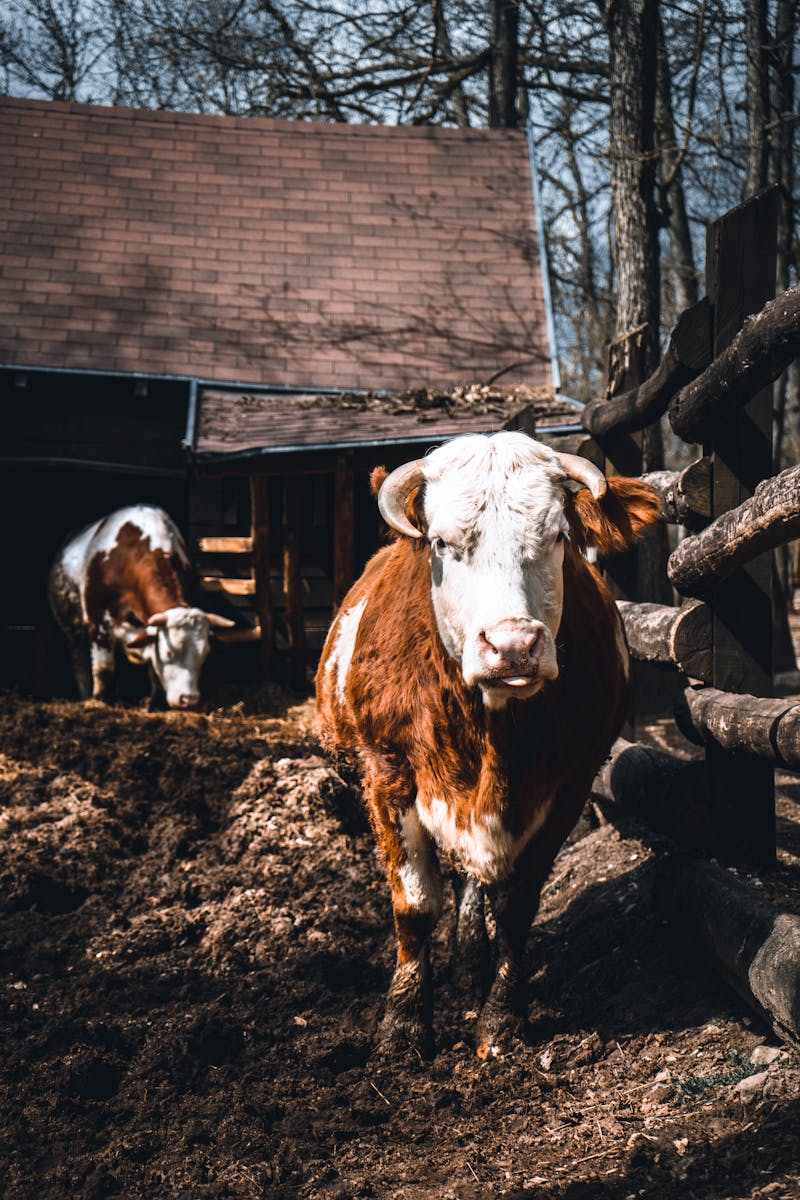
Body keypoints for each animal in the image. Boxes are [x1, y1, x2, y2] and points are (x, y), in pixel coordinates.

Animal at [48, 504, 234, 709]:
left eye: (204, 653)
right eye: (169, 652)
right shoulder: (97, 619)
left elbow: (152, 663)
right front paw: (100, 699)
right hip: (73, 630)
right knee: (80, 660)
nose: (189, 699)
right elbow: (104, 668)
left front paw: (154, 701)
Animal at [316, 431, 659, 1060]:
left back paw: (472, 965)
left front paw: (501, 1021)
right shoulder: (386, 774)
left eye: (558, 536)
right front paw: (404, 1026)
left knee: (476, 887)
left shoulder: (569, 784)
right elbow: (415, 904)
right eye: (441, 542)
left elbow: (515, 905)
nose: (513, 644)